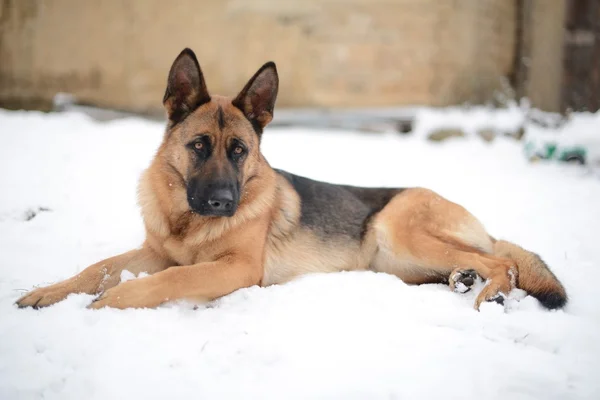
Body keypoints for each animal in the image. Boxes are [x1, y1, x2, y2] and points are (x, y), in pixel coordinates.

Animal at [15, 47, 568, 310]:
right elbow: (98, 268)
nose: (222, 202)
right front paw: (46, 292)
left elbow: (172, 278)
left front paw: (115, 301)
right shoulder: (154, 252)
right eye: (199, 147)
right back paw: (463, 279)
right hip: (400, 262)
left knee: (503, 261)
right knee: (474, 262)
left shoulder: (235, 268)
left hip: (398, 227)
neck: (188, 224)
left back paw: (488, 291)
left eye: (239, 152)